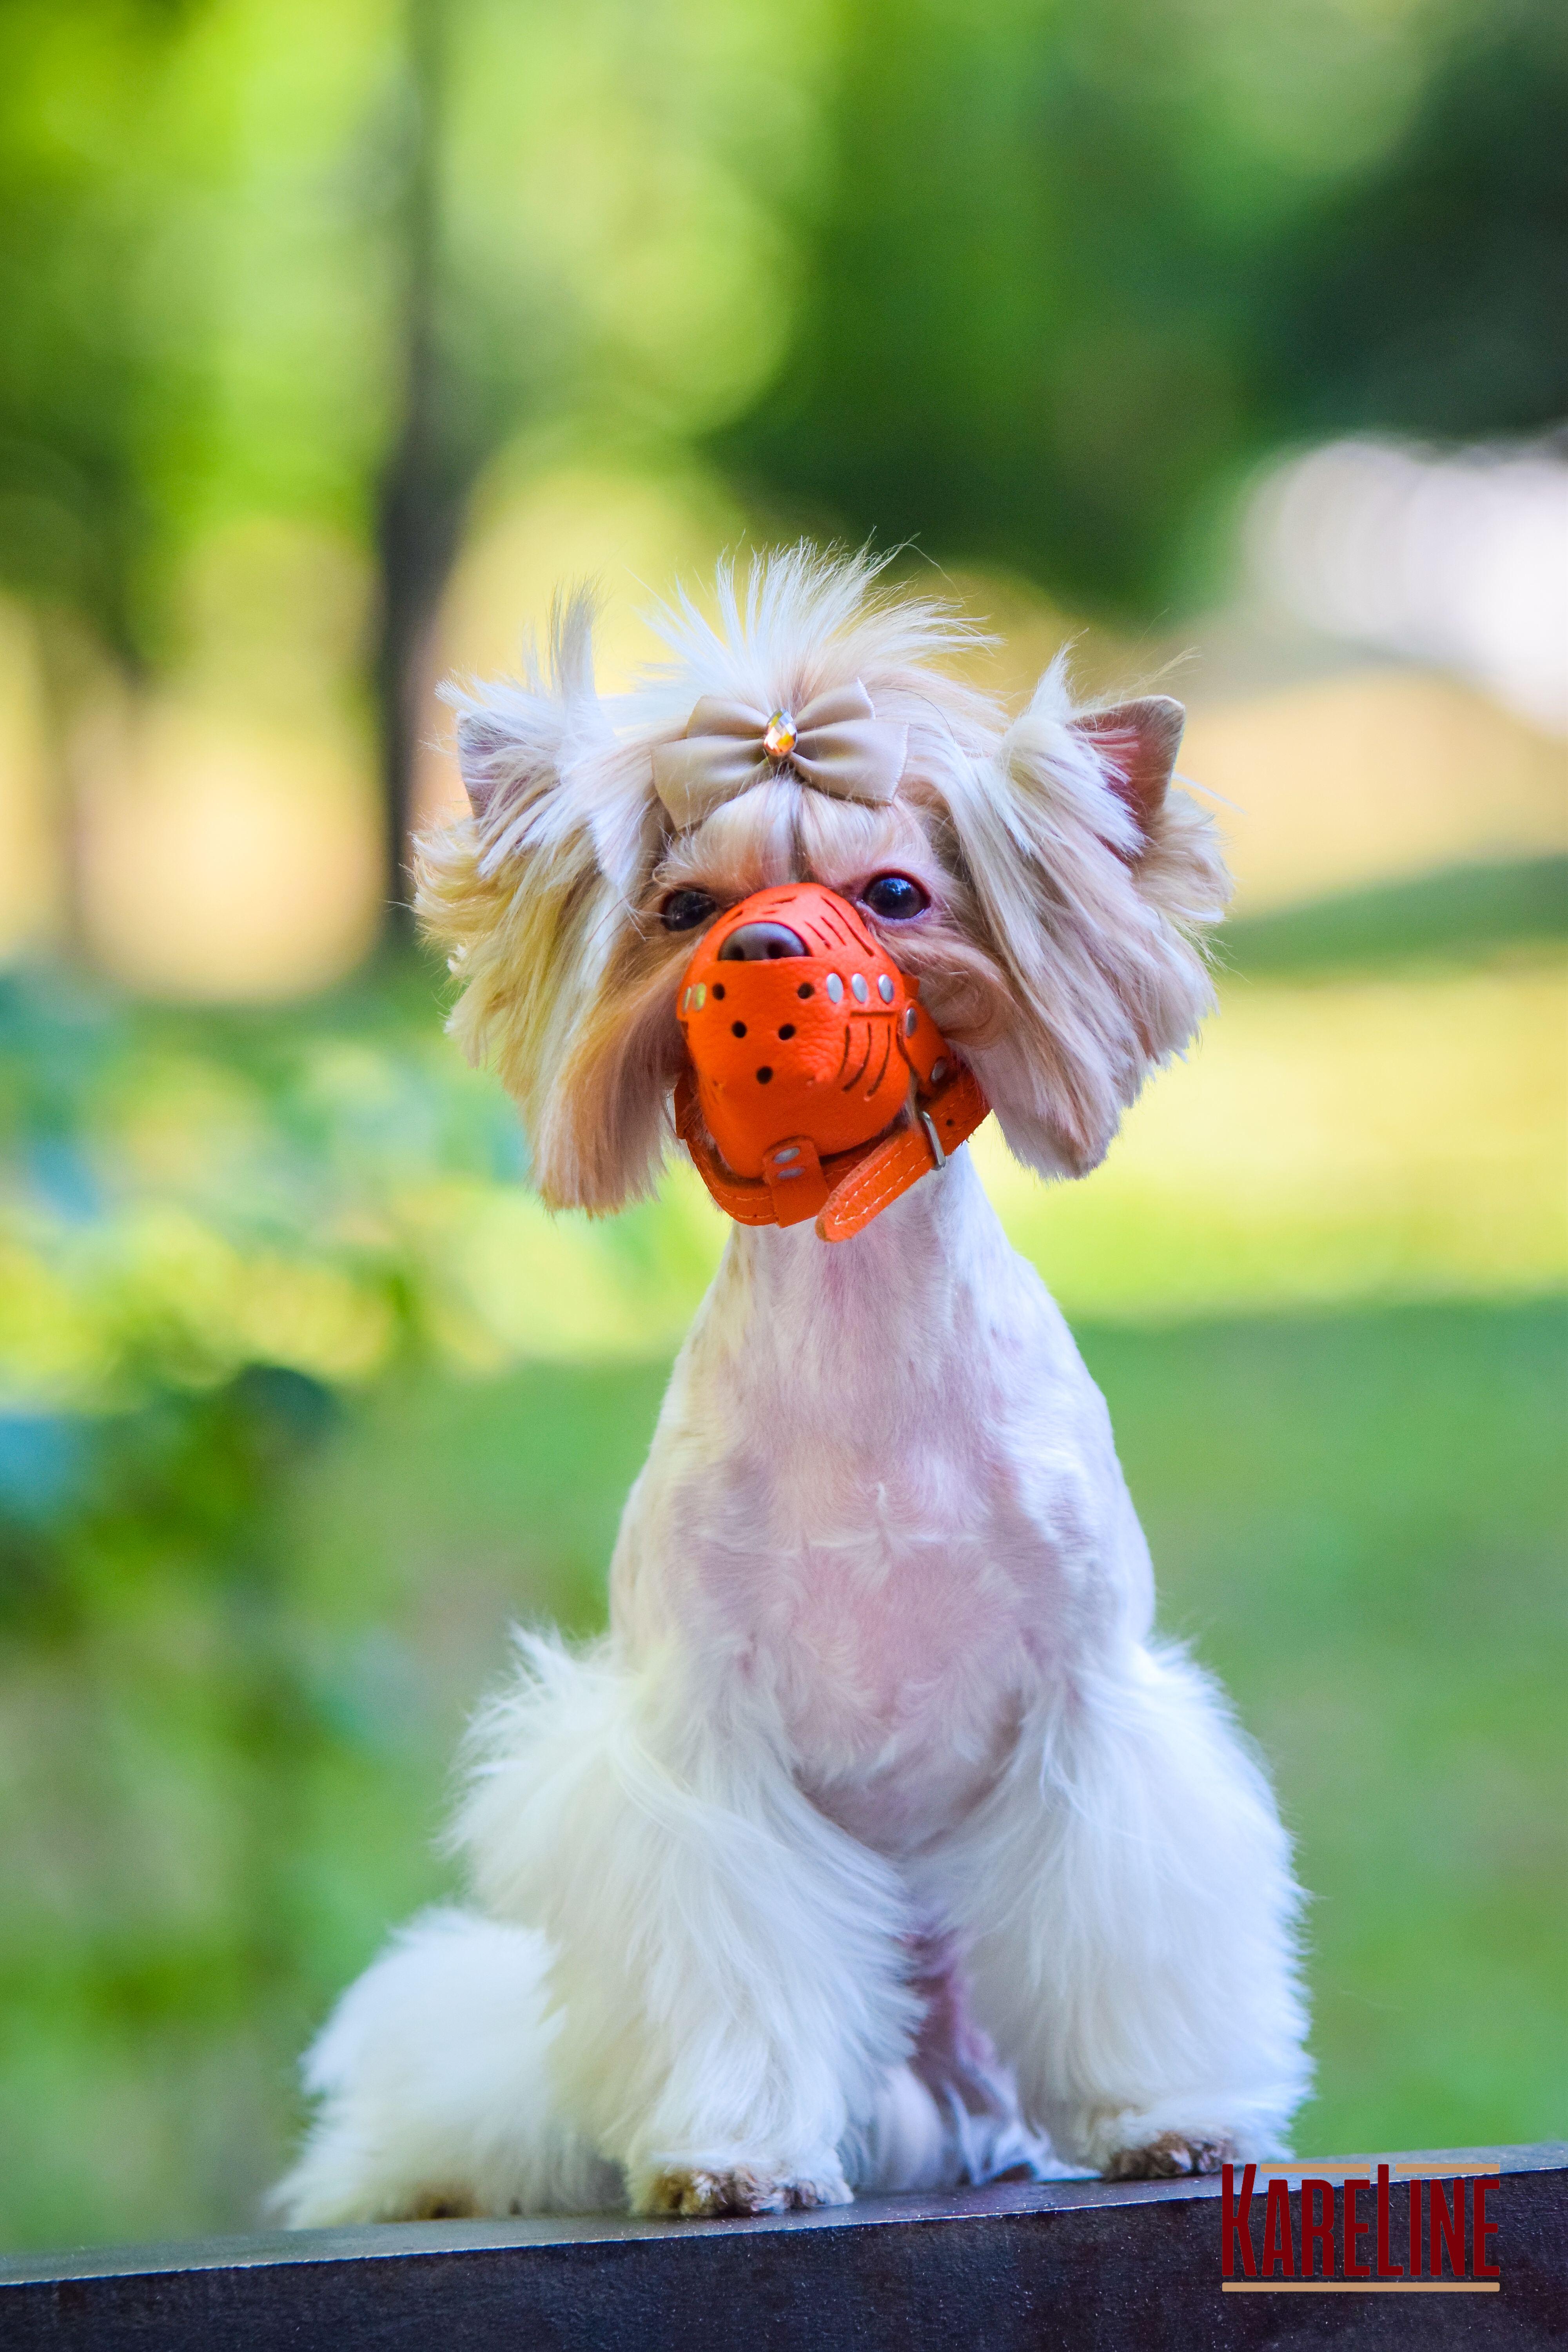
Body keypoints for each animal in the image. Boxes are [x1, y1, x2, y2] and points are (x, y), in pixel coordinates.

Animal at [276, 546, 1307, 2220]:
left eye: (895, 894)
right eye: (682, 906)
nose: (759, 949)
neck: (859, 1320)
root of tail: (937, 2114)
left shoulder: (1088, 1701)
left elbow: (1123, 1914)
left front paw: (1167, 2117)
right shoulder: (704, 1739)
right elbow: (728, 1954)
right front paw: (733, 2156)